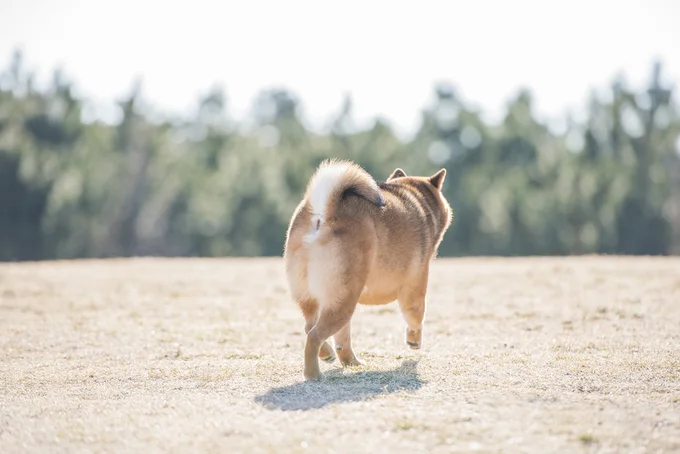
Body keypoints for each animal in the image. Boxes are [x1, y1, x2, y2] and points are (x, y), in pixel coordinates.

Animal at [284, 160, 454, 380]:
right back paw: (313, 375)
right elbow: (416, 317)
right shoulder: (415, 286)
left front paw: (347, 360)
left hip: (319, 298)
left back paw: (337, 356)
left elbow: (343, 338)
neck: (417, 199)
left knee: (311, 327)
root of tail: (322, 215)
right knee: (314, 335)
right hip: (344, 300)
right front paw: (414, 340)